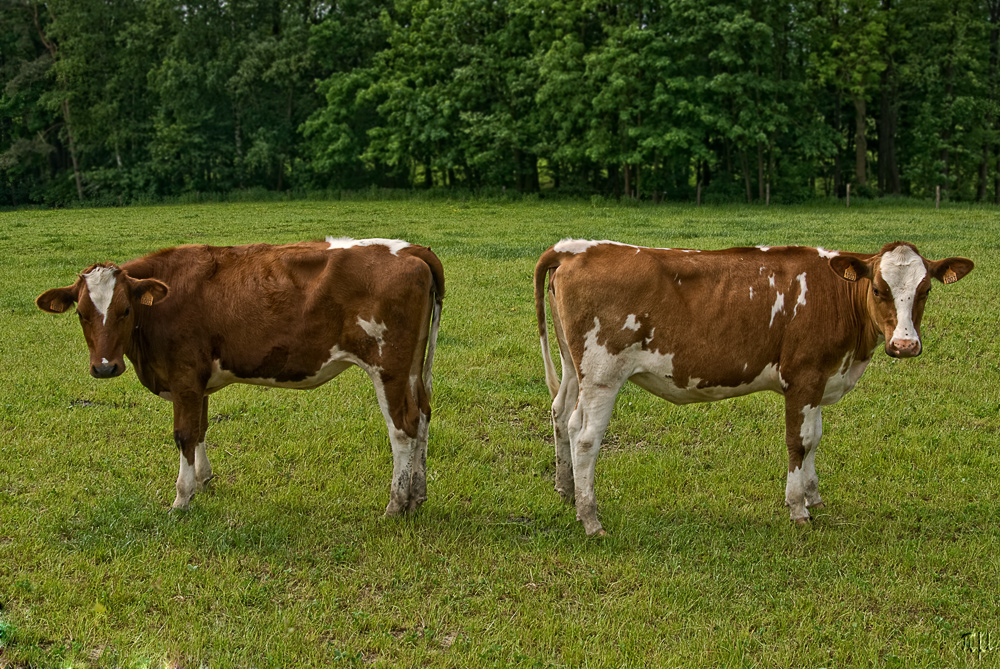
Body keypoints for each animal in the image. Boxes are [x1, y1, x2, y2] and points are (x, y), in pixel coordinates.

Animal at [36, 237, 442, 516]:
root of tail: (410, 249)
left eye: (124, 310)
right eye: (82, 313)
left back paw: (396, 504)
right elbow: (200, 429)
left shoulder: (184, 377)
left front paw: (181, 499)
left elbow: (183, 434)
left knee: (403, 427)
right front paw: (203, 482)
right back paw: (418, 496)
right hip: (411, 369)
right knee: (422, 416)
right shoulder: (198, 382)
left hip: (388, 365)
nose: (105, 367)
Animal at [536, 237, 972, 536]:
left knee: (561, 414)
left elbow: (815, 438)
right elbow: (800, 441)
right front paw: (798, 508)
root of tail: (575, 249)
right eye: (879, 289)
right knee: (586, 436)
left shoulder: (820, 380)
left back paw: (566, 490)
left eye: (925, 291)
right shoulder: (804, 376)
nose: (905, 345)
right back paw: (590, 518)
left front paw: (814, 497)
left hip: (574, 368)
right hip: (602, 374)